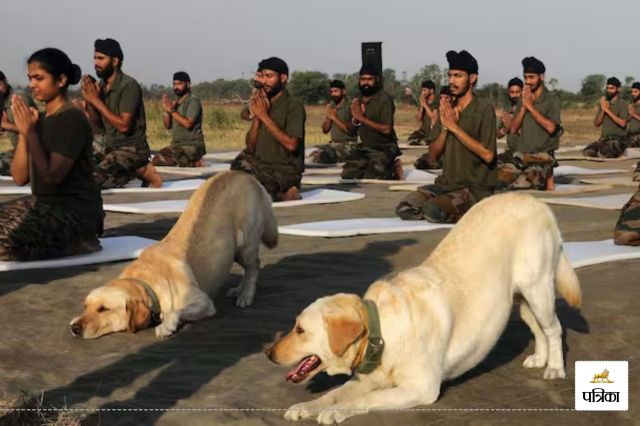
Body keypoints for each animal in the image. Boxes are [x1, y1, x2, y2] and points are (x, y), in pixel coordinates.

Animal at [70, 171, 278, 340]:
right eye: (85, 306)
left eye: (103, 309)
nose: (75, 328)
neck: (146, 283)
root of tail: (247, 176)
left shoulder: (203, 302)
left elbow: (176, 311)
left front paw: (167, 325)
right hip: (233, 250)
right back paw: (238, 289)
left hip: (246, 243)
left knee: (254, 266)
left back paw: (246, 296)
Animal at [268, 194, 584, 426]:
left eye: (300, 330)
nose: (268, 353)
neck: (381, 332)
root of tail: (534, 199)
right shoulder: (363, 379)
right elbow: (334, 393)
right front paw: (307, 406)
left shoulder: (421, 388)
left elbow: (361, 400)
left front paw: (336, 412)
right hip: (522, 298)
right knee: (539, 328)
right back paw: (540, 358)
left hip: (538, 288)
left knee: (554, 327)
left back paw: (555, 367)